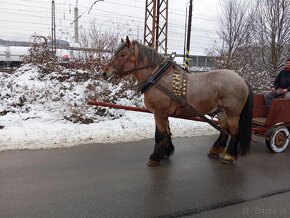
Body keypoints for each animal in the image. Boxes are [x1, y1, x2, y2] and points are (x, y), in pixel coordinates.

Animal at [103, 37, 253, 167]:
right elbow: (166, 133)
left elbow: (159, 134)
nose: (105, 72)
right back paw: (215, 151)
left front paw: (155, 157)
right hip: (221, 111)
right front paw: (165, 153)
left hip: (233, 112)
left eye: (122, 54)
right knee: (224, 129)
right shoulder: (162, 113)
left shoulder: (160, 112)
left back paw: (229, 156)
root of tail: (242, 79)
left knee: (234, 132)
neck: (157, 78)